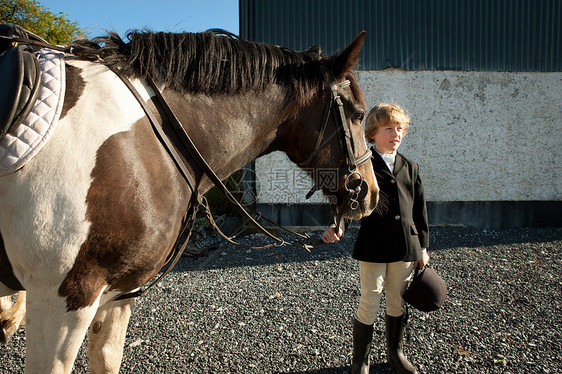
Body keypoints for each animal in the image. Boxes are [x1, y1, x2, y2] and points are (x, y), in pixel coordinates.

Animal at [0, 30, 378, 374]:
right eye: (359, 115)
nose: (371, 194)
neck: (150, 138)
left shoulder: (118, 293)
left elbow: (106, 359)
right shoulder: (63, 297)